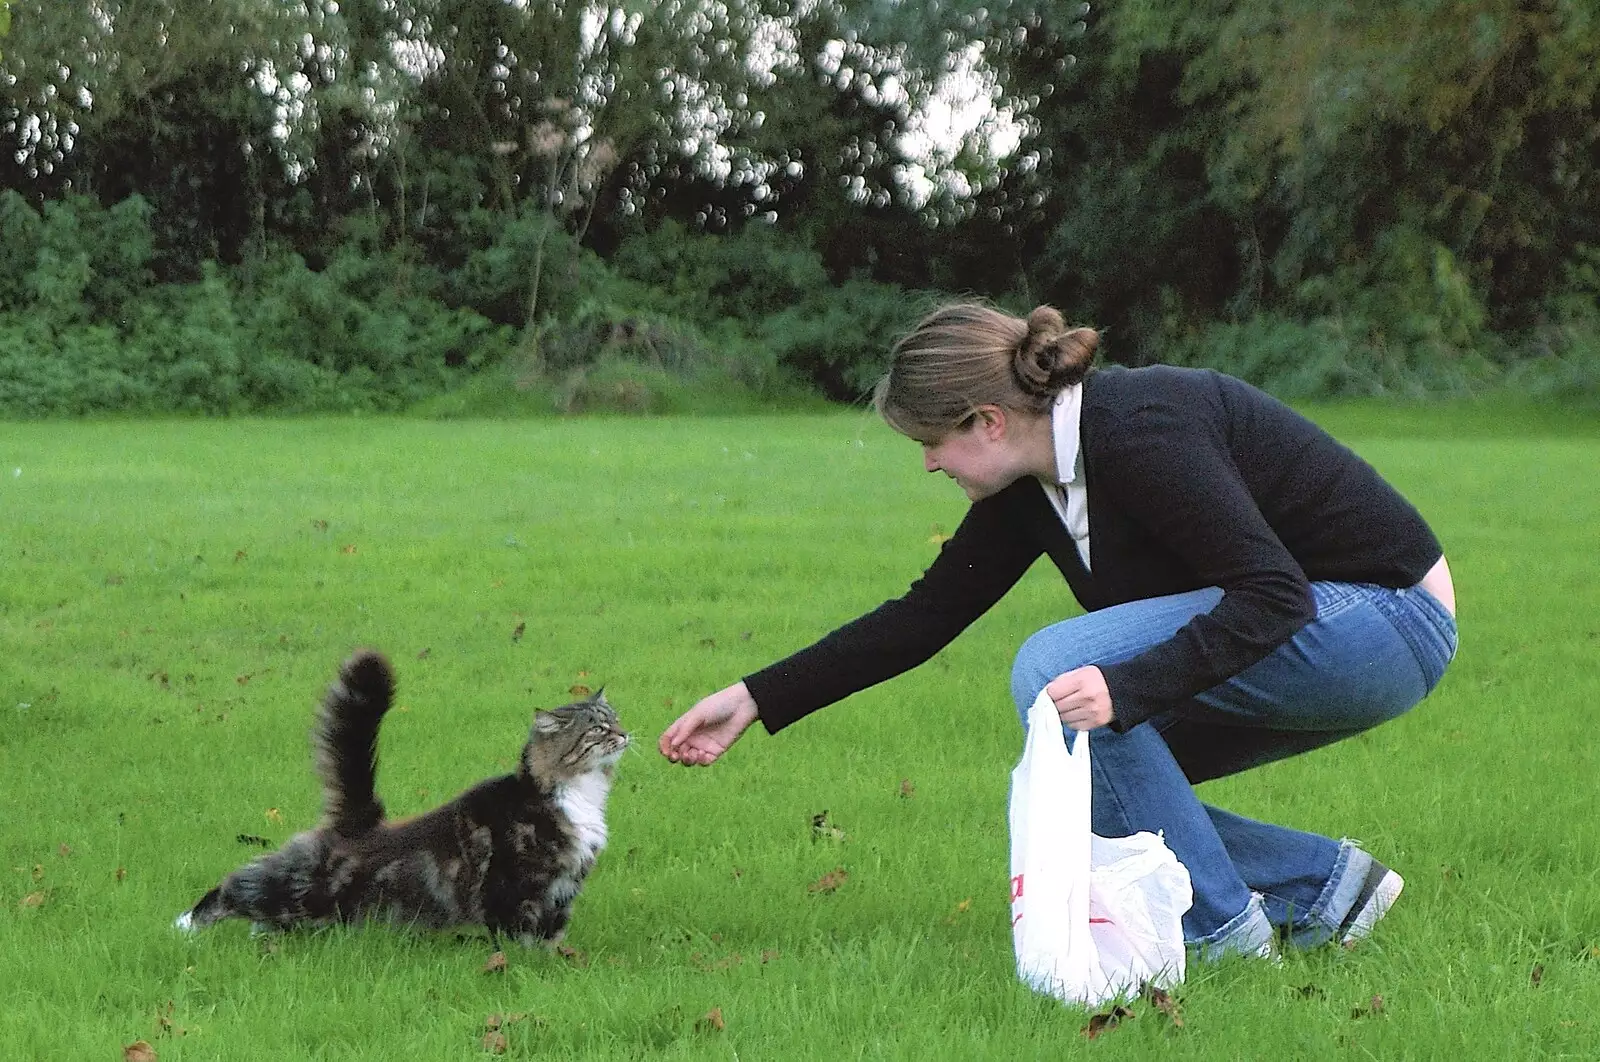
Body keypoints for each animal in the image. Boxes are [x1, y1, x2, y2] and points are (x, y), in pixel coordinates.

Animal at [173, 646, 624, 946]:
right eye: (597, 729)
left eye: (615, 719)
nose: (623, 735)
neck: (575, 796)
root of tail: (359, 823)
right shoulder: (514, 887)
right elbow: (520, 938)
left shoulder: (562, 891)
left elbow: (553, 936)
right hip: (295, 887)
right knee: (239, 886)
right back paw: (186, 926)